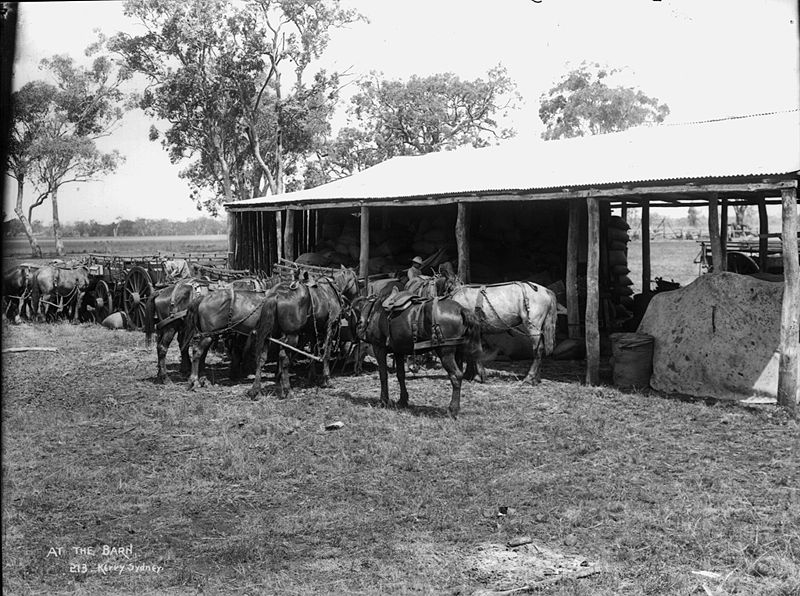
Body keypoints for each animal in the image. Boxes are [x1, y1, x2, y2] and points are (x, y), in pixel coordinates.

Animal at [247, 266, 360, 400]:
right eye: (357, 281)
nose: (357, 298)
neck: (331, 290)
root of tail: (276, 295)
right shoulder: (330, 327)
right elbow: (326, 354)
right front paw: (326, 380)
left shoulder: (312, 331)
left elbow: (313, 351)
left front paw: (312, 377)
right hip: (292, 335)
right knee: (284, 357)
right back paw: (287, 389)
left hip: (270, 334)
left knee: (262, 357)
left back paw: (259, 390)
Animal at [354, 288, 484, 420]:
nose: (358, 326)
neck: (373, 311)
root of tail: (460, 309)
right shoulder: (398, 351)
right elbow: (400, 375)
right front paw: (403, 401)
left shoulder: (379, 348)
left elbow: (383, 375)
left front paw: (383, 401)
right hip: (458, 352)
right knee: (460, 375)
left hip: (445, 353)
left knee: (456, 376)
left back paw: (452, 410)